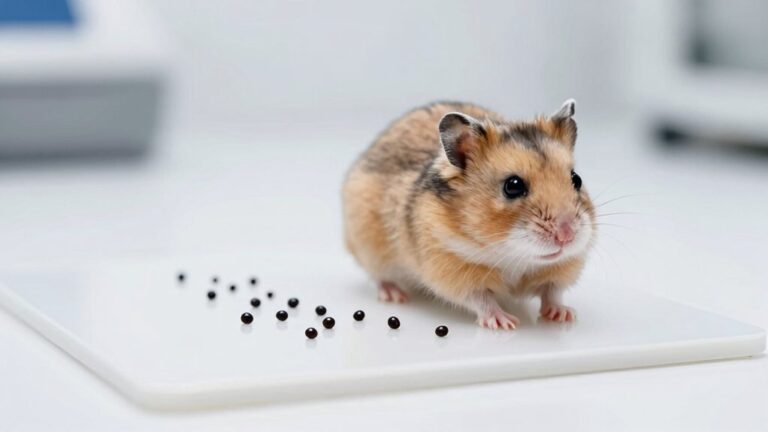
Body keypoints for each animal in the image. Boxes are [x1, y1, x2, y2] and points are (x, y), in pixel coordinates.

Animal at [342, 100, 595, 329]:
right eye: (512, 186)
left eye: (576, 179)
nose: (567, 236)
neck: (514, 256)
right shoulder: (453, 270)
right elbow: (481, 298)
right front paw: (505, 323)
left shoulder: (561, 268)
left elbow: (552, 292)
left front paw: (564, 315)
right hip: (368, 247)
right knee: (380, 276)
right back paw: (395, 295)